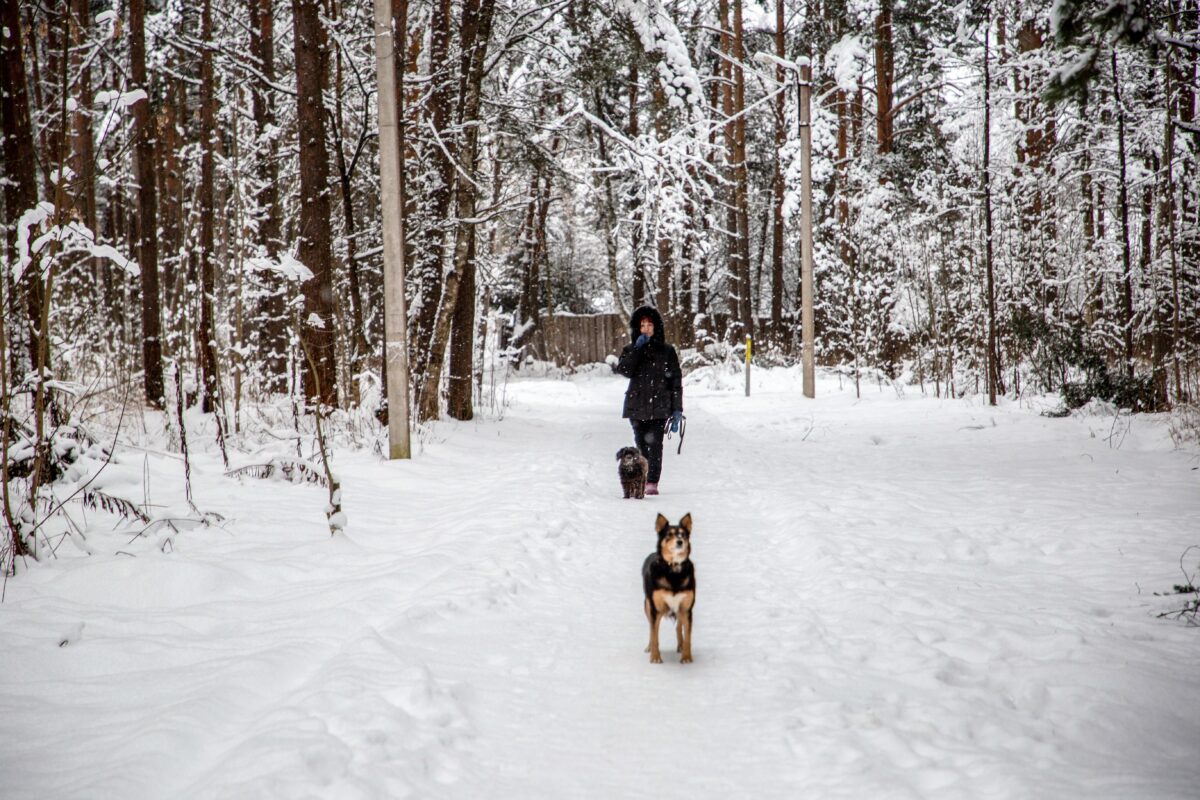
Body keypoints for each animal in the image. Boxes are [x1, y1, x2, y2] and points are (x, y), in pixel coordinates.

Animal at [648, 513, 696, 662]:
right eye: (669, 534)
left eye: (683, 535)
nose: (680, 542)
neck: (673, 568)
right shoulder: (656, 609)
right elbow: (654, 635)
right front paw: (655, 657)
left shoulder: (686, 608)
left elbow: (688, 637)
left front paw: (686, 657)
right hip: (648, 606)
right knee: (651, 629)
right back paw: (649, 648)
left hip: (679, 610)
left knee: (679, 627)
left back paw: (680, 646)